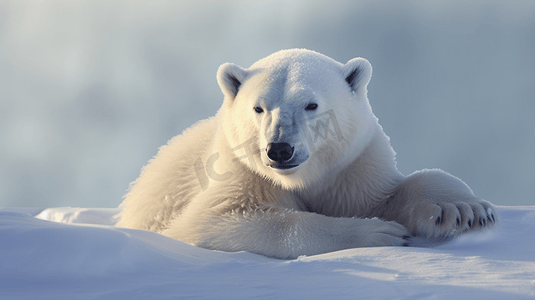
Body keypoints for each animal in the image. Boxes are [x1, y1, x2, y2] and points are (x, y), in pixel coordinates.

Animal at [117, 48, 498, 258]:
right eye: (259, 108)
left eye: (311, 105)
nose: (280, 149)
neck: (305, 178)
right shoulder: (243, 175)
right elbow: (215, 219)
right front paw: (379, 234)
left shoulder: (352, 170)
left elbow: (389, 194)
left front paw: (462, 210)